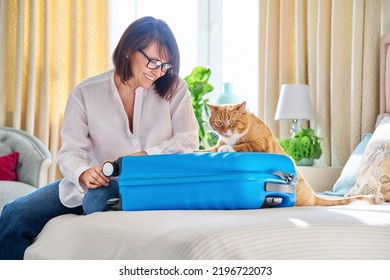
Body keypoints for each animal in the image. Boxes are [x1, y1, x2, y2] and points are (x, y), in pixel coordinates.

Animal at [203, 101, 386, 207]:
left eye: (232, 122)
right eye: (218, 122)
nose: (225, 131)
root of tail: (314, 196)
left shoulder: (259, 144)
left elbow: (243, 146)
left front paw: (228, 148)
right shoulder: (217, 143)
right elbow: (209, 149)